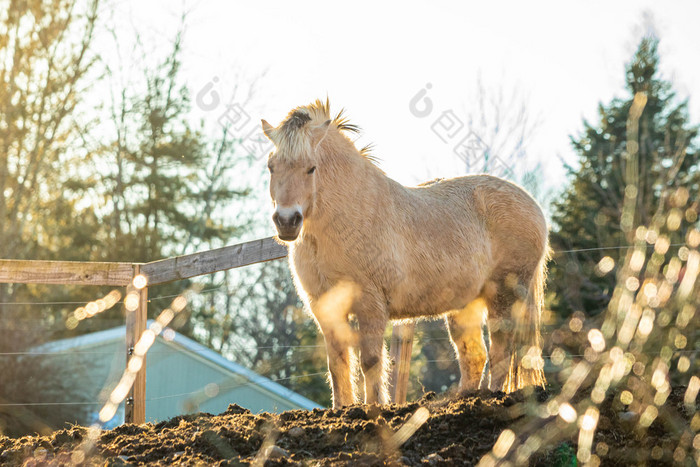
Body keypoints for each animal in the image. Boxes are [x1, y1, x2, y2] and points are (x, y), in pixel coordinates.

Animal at [260, 99, 548, 410]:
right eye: (271, 167)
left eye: (311, 168)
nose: (287, 221)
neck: (348, 215)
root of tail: (534, 207)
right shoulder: (324, 307)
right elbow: (337, 364)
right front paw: (341, 410)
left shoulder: (371, 305)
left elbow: (371, 361)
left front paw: (373, 409)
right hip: (465, 306)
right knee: (474, 356)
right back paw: (462, 402)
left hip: (503, 297)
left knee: (501, 352)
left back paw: (491, 399)